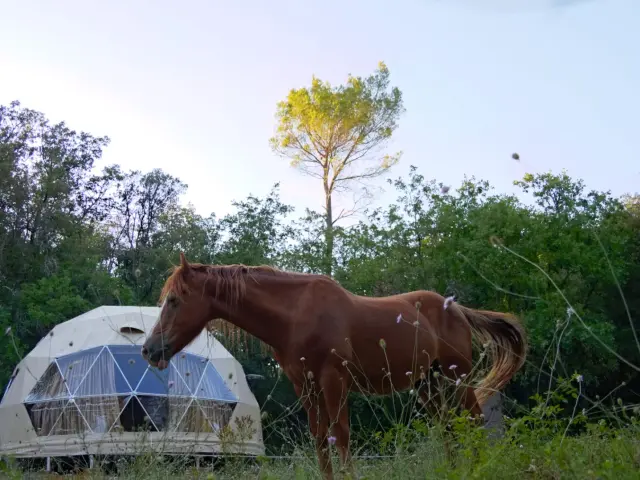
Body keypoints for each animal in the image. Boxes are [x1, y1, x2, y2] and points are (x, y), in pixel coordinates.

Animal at [142, 253, 527, 479]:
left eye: (174, 300)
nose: (149, 349)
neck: (296, 315)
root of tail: (457, 309)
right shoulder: (305, 385)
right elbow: (319, 438)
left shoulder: (333, 379)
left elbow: (340, 434)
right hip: (427, 385)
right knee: (448, 427)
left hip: (456, 377)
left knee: (472, 420)